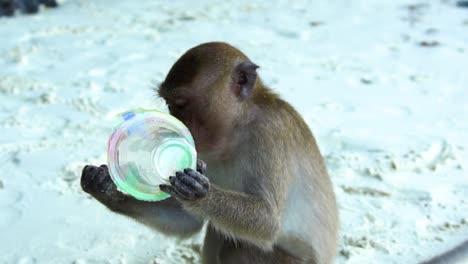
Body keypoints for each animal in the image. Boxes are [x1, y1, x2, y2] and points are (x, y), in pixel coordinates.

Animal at [78, 42, 338, 262]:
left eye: (180, 104)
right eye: (169, 104)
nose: (175, 120)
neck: (236, 128)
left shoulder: (270, 134)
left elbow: (269, 221)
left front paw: (199, 194)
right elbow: (188, 221)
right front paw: (107, 190)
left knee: (235, 247)